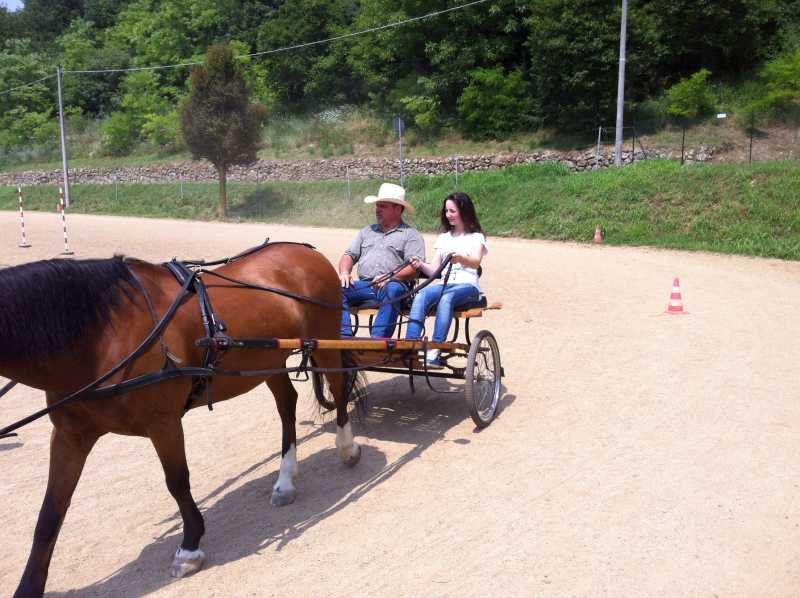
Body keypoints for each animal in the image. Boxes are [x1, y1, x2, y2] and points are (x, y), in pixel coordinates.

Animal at [0, 241, 360, 597]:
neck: (103, 337)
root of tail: (305, 250)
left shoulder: (164, 423)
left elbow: (177, 481)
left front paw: (189, 547)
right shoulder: (70, 434)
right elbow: (51, 512)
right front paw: (29, 586)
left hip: (324, 340)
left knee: (339, 387)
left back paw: (346, 447)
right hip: (269, 360)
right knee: (287, 405)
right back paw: (285, 480)